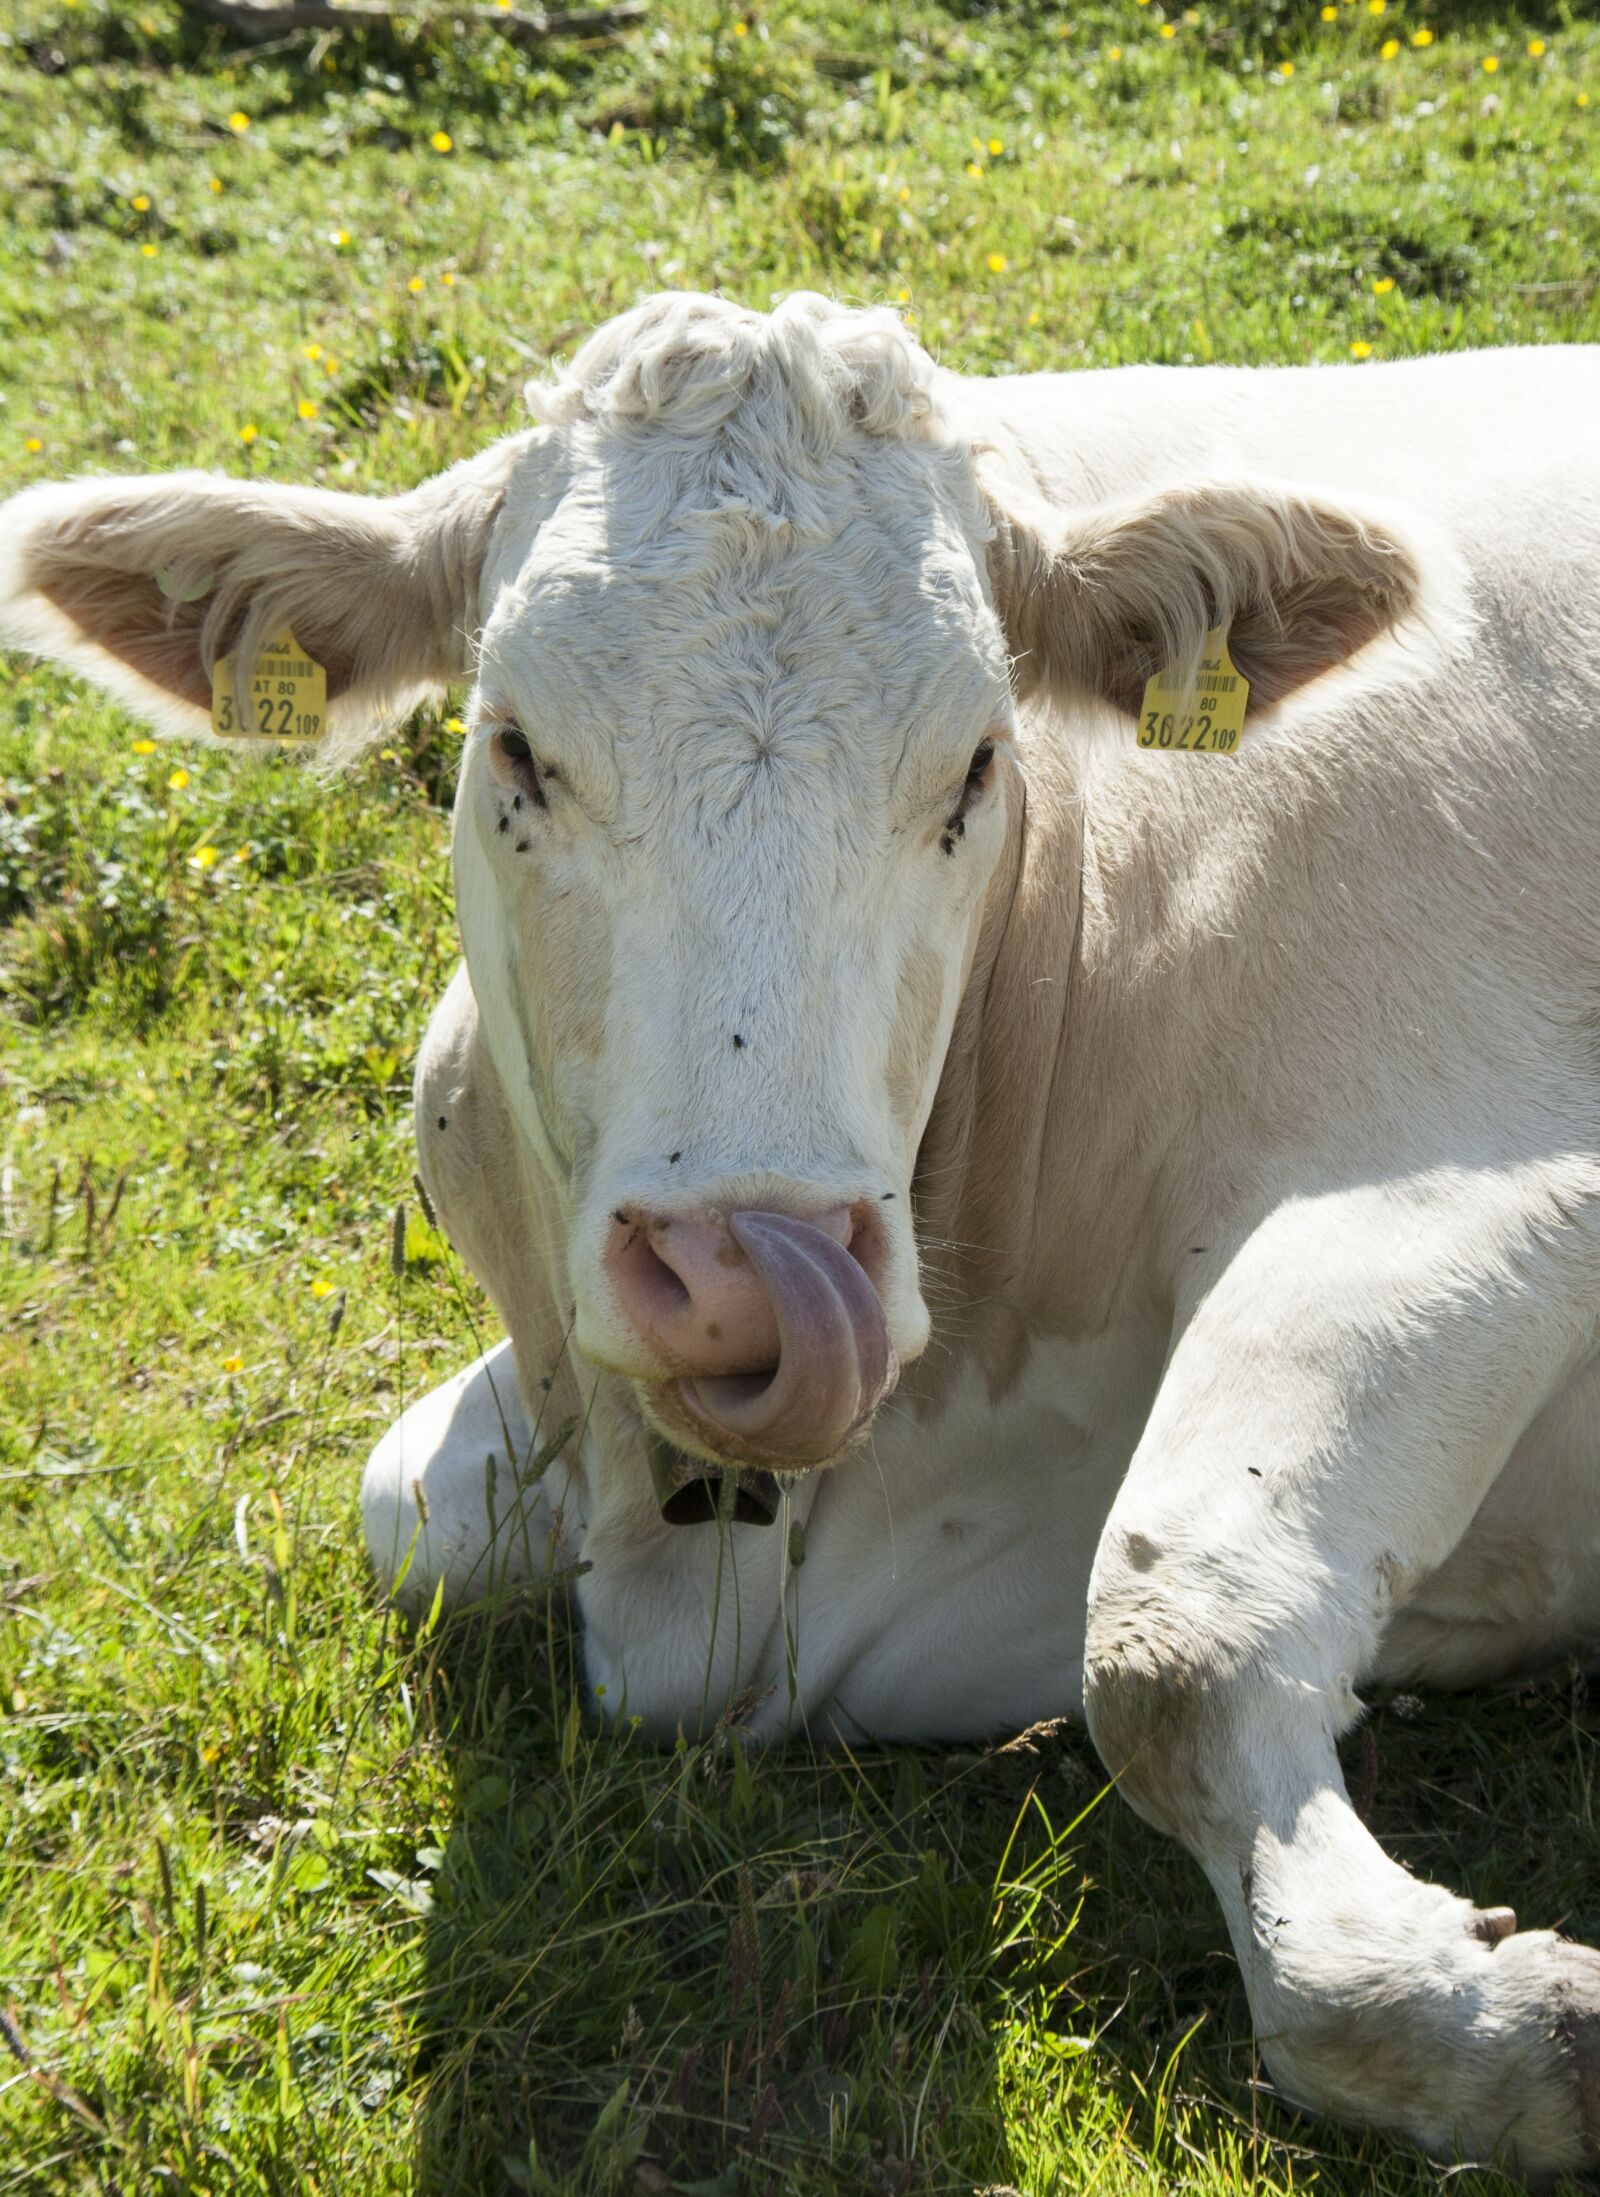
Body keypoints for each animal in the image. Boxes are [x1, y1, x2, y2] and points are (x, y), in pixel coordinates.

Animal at [3, 291, 1598, 2179]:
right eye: (512, 746)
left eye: (978, 761)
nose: (749, 1279)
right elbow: (408, 1513)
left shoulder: (1468, 1169)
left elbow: (1173, 1639)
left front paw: (1481, 2012)